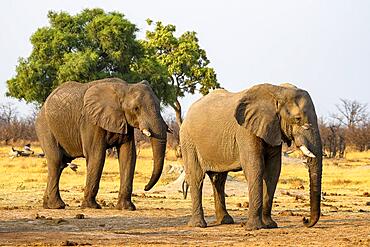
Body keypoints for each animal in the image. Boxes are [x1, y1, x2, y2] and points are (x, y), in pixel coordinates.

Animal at [34, 78, 168, 209]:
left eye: (159, 105)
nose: (145, 188)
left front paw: (127, 208)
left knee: (61, 164)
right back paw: (57, 206)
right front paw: (91, 207)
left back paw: (48, 205)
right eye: (136, 108)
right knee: (56, 161)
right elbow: (96, 155)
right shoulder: (91, 121)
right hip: (45, 128)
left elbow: (128, 156)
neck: (125, 88)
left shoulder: (125, 123)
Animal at [181, 82, 322, 230]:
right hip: (188, 141)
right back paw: (198, 225)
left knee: (218, 179)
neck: (277, 91)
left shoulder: (273, 128)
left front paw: (270, 225)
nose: (305, 220)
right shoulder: (245, 130)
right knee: (197, 177)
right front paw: (255, 227)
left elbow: (273, 171)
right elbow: (255, 167)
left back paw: (225, 221)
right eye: (297, 119)